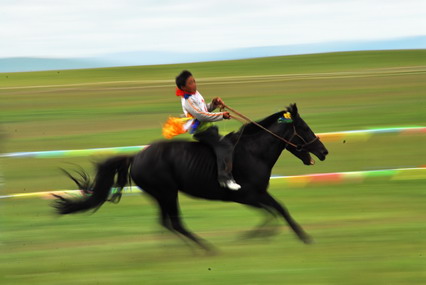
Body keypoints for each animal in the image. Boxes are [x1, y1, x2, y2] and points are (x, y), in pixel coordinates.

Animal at [54, 103, 330, 248]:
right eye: (305, 128)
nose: (323, 151)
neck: (253, 152)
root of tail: (137, 157)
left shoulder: (255, 195)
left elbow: (273, 211)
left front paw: (258, 235)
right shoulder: (249, 195)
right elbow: (278, 209)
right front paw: (303, 237)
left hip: (162, 195)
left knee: (165, 223)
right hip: (167, 192)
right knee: (175, 222)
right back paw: (205, 249)